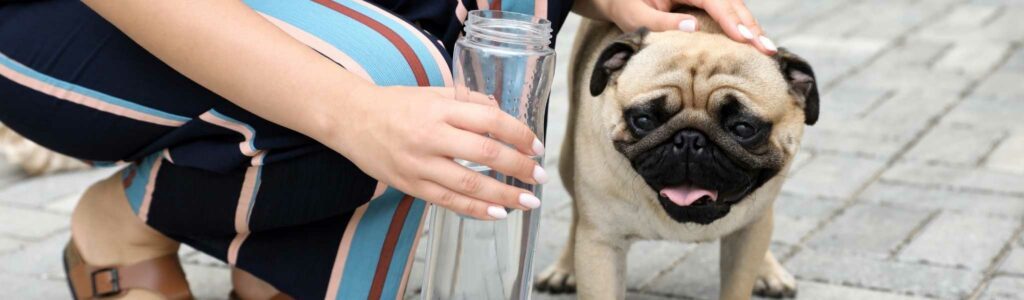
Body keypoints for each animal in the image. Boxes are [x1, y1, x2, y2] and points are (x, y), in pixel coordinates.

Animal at [536, 7, 815, 298]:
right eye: (644, 119)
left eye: (743, 127)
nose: (690, 139)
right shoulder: (602, 243)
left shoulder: (747, 237)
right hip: (567, 164)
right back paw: (564, 268)